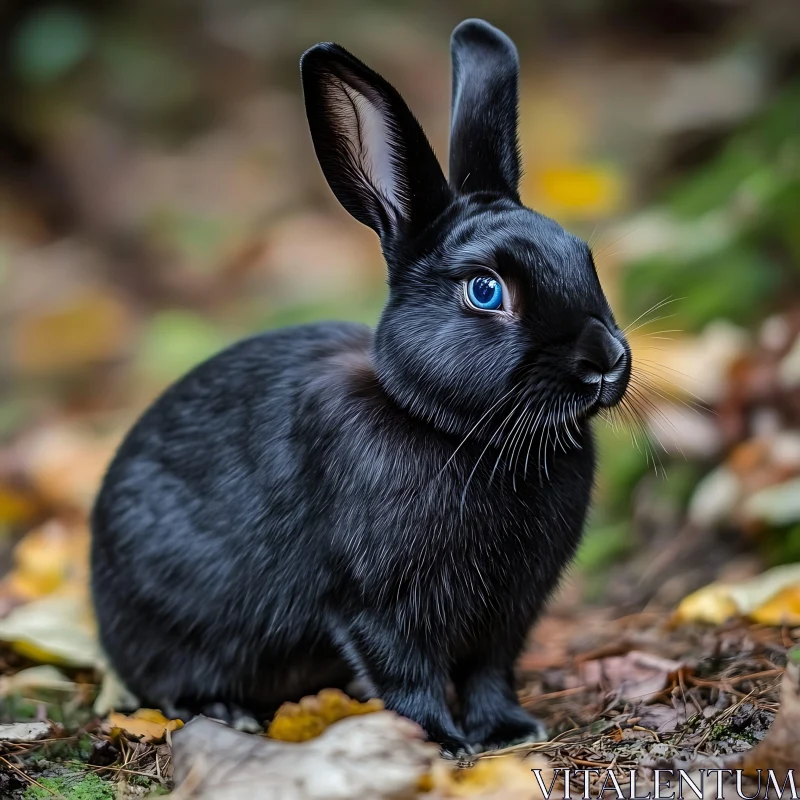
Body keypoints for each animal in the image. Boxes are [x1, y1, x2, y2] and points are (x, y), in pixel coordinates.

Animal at [92, 18, 632, 756]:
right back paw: (225, 710)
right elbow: (408, 675)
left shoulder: (510, 612)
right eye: (486, 290)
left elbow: (491, 670)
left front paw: (508, 732)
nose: (605, 360)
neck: (458, 432)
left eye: (584, 258)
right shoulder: (377, 604)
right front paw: (443, 744)